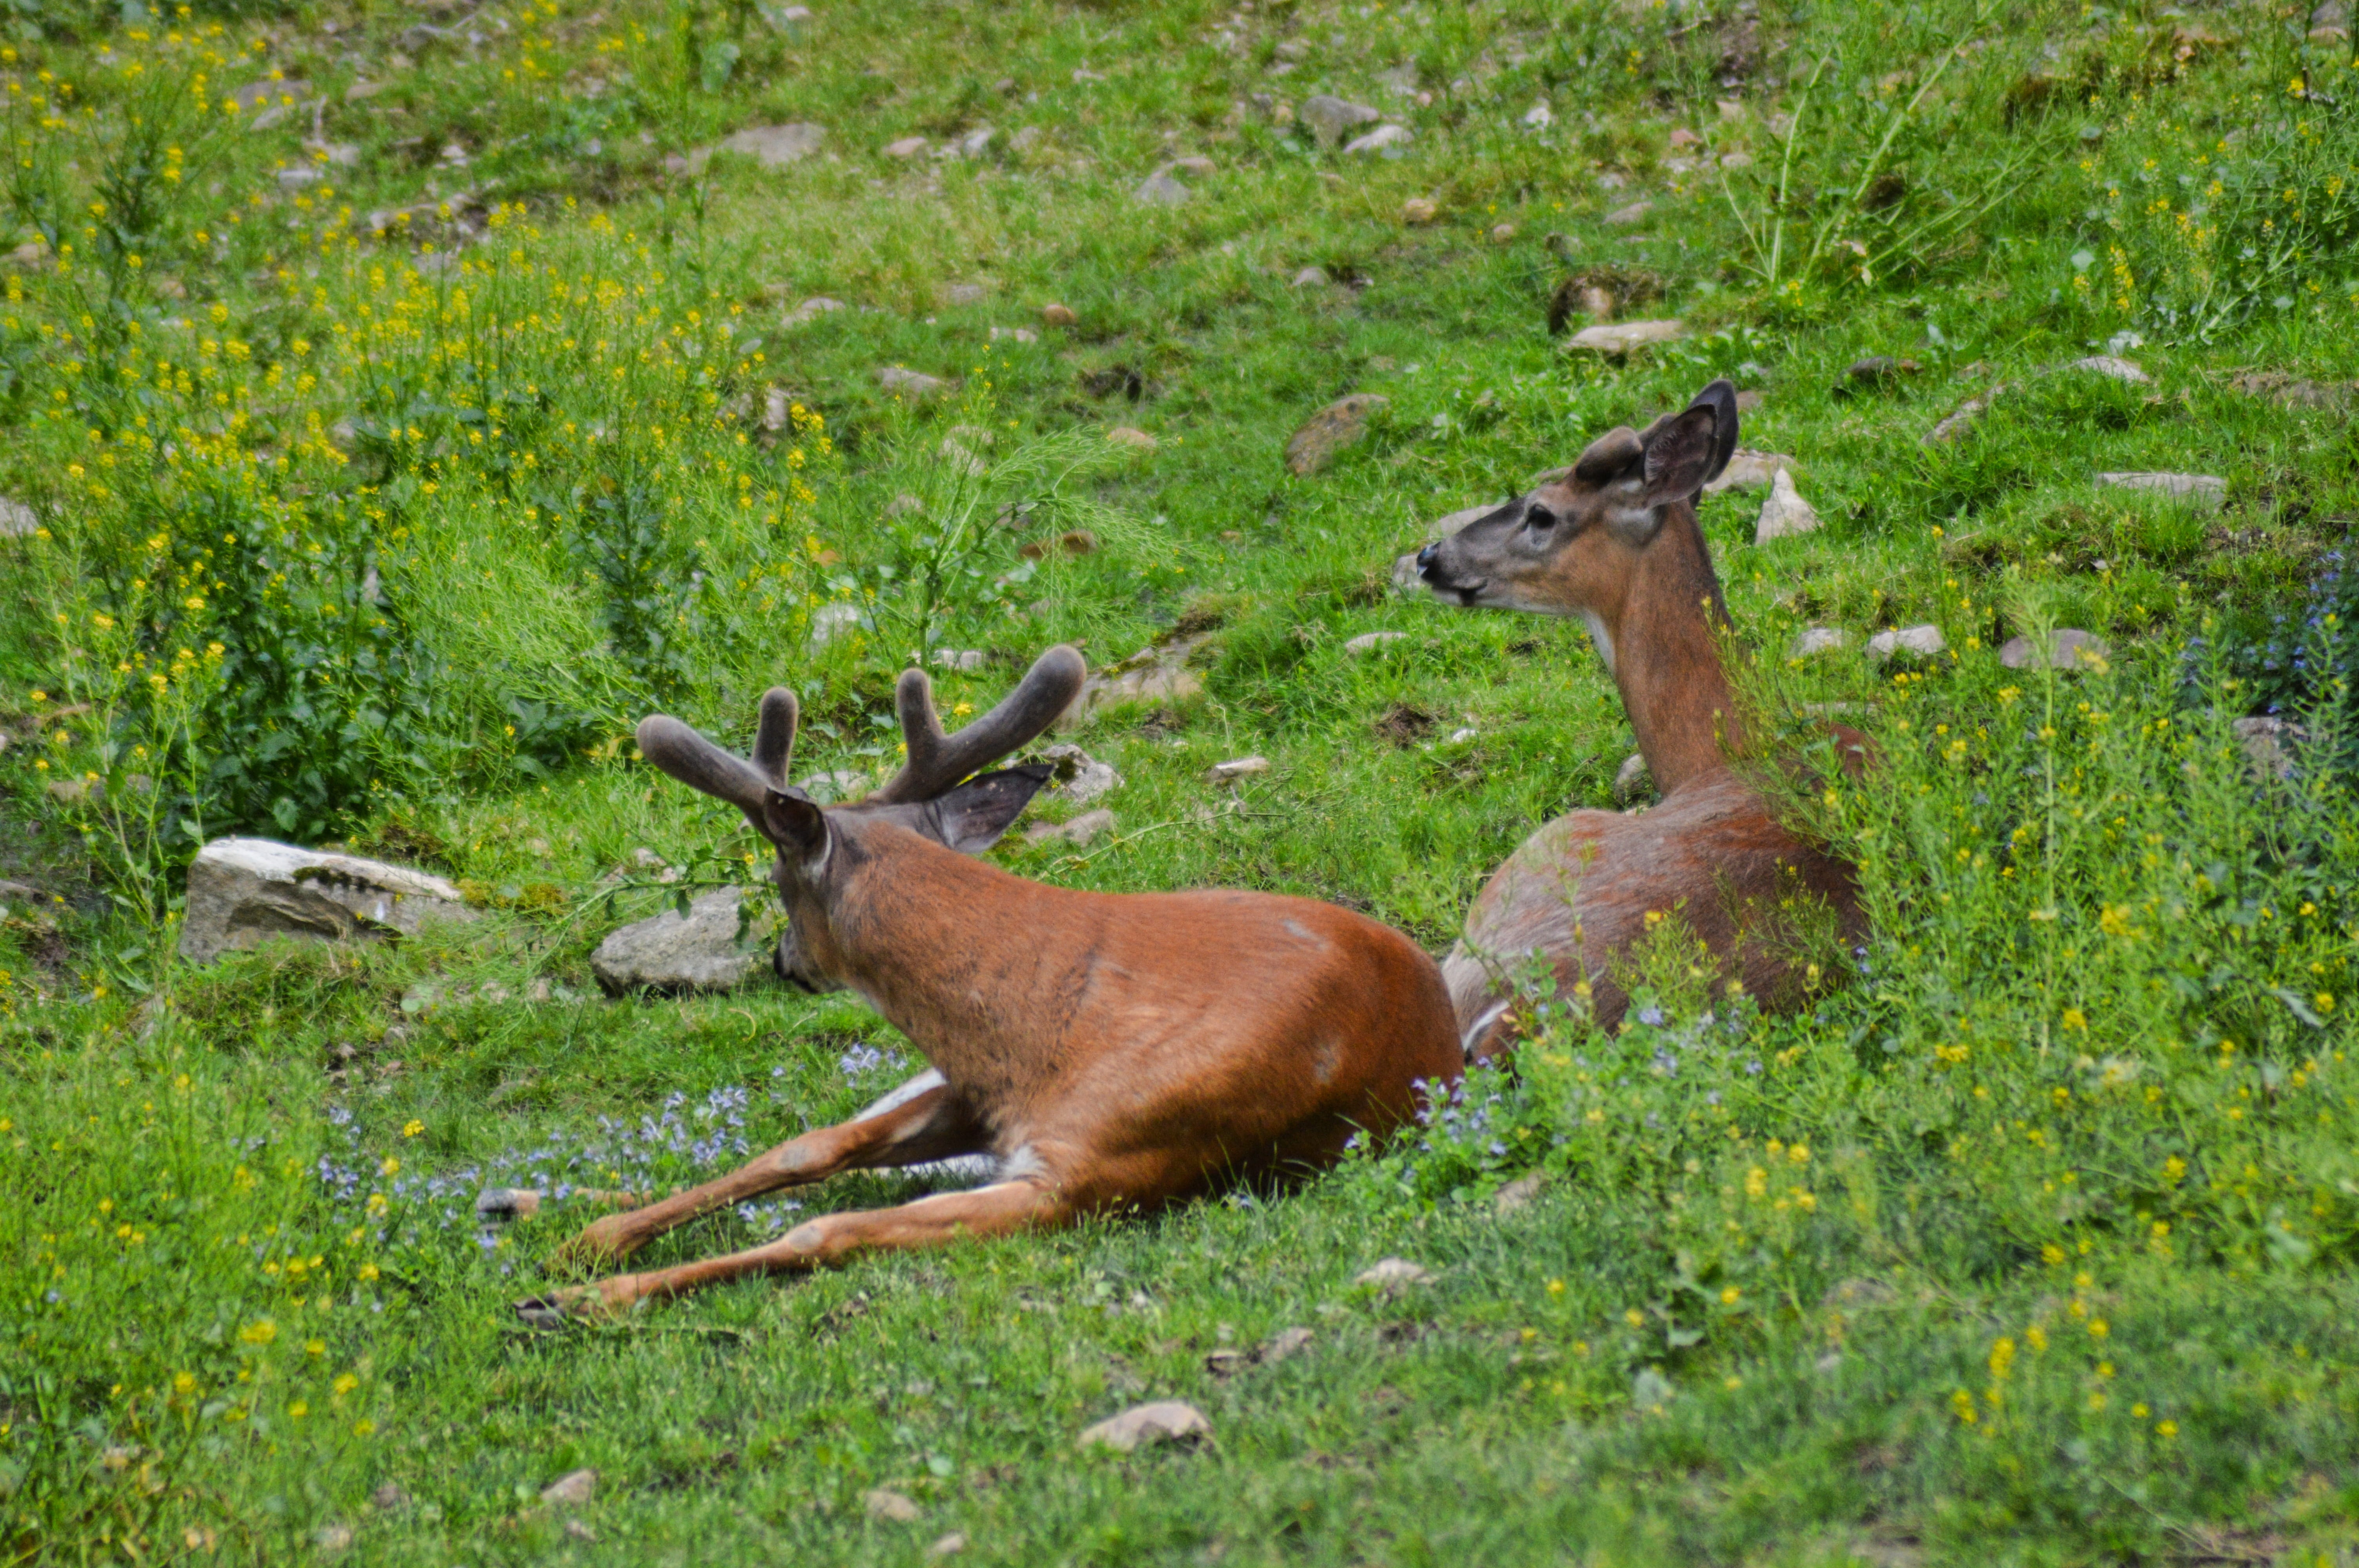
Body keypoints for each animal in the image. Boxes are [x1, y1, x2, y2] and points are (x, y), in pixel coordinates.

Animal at [517, 647, 1462, 1323]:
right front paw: (587, 1243)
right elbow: (809, 1146)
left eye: (782, 883)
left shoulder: (1090, 1174)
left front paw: (575, 1299)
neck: (1044, 1021)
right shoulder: (981, 1090)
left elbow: (827, 1226)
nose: (785, 961)